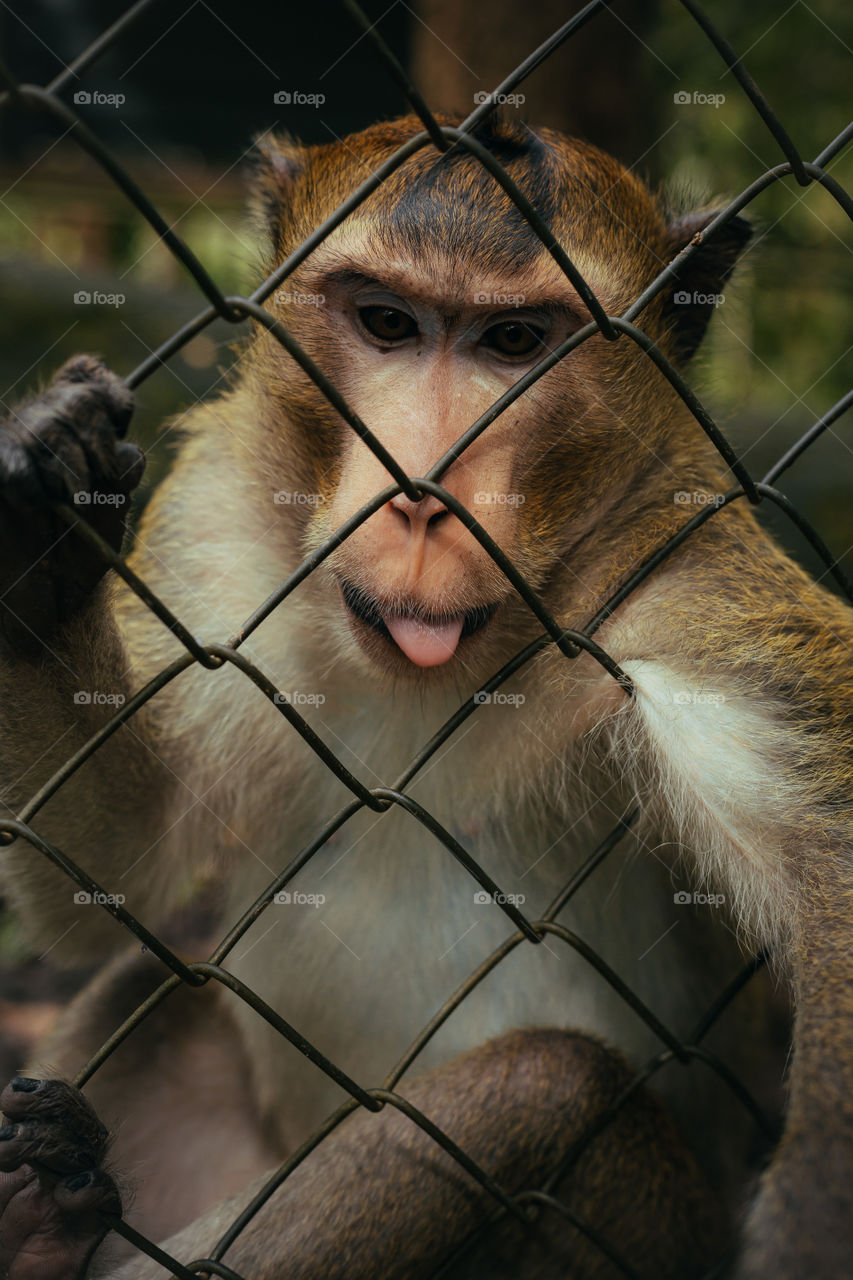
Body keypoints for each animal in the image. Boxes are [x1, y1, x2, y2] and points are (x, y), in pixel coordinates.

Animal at [0, 111, 850, 1279]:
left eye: (515, 343)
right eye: (387, 323)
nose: (421, 497)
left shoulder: (683, 576)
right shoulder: (218, 516)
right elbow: (117, 870)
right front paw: (39, 529)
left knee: (541, 1084)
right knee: (165, 992)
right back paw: (40, 1214)